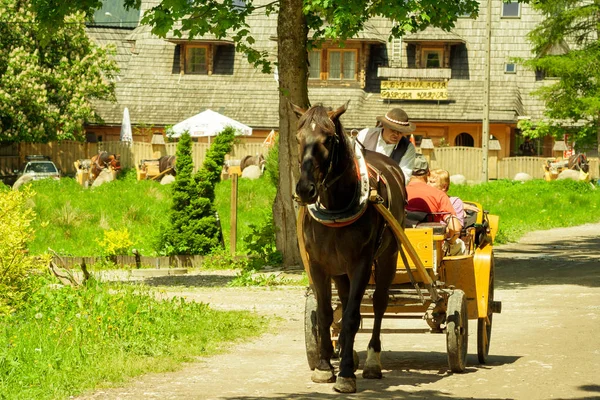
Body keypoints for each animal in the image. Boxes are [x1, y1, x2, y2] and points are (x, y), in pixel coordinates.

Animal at [294, 103, 408, 394]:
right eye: (299, 138)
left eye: (328, 139)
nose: (305, 189)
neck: (335, 206)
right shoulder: (320, 265)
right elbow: (325, 314)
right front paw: (325, 366)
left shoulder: (361, 264)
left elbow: (352, 317)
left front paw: (345, 373)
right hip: (339, 270)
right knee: (343, 303)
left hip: (388, 258)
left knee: (378, 304)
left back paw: (371, 360)